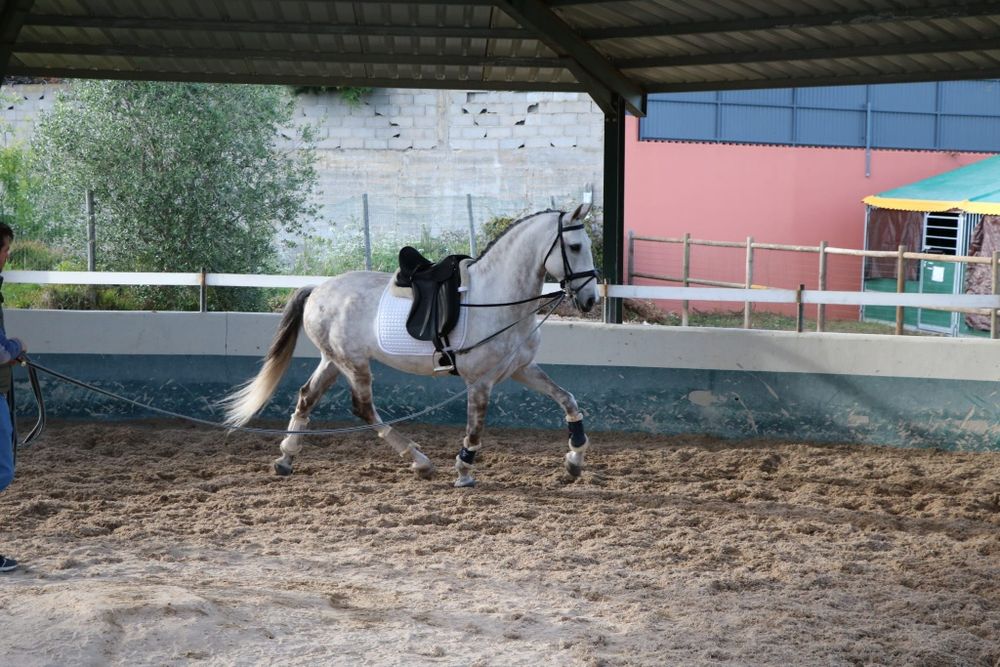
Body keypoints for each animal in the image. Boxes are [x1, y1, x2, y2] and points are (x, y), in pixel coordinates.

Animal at [221, 203, 600, 487]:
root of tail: (317, 289)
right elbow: (475, 429)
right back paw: (419, 461)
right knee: (363, 408)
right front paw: (464, 471)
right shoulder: (480, 381)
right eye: (576, 247)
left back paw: (286, 457)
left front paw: (575, 459)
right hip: (353, 363)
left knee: (307, 397)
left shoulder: (521, 369)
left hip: (332, 360)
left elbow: (568, 399)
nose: (590, 300)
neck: (499, 298)